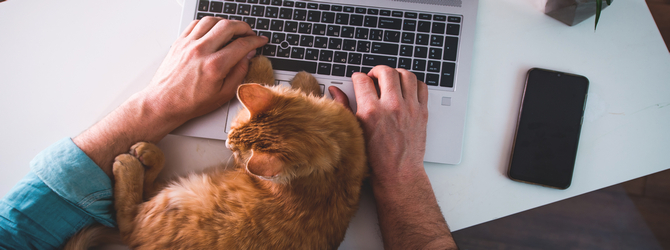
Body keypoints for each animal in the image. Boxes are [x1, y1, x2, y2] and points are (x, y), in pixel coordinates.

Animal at [66, 55, 370, 249]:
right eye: (232, 131)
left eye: (236, 151)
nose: (226, 146)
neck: (336, 164)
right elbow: (296, 88)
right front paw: (302, 78)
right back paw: (147, 154)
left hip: (178, 198)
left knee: (128, 218)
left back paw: (133, 162)